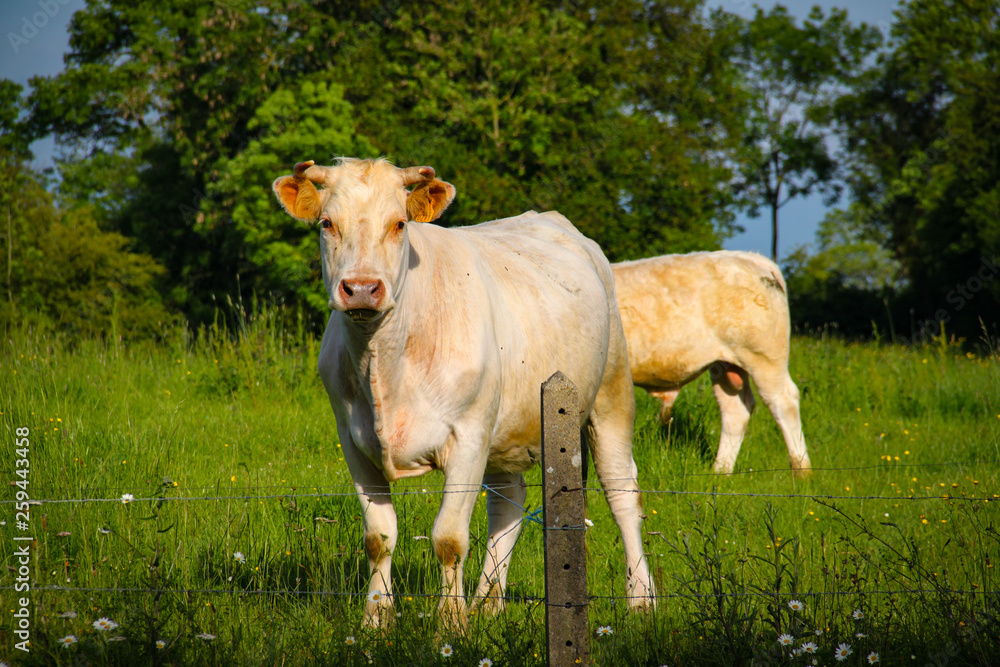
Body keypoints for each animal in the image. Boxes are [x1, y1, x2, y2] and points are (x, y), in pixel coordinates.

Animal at [608, 250, 812, 474]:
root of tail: (751, 257)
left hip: (764, 358)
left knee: (783, 401)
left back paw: (802, 470)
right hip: (724, 366)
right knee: (735, 409)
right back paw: (720, 471)